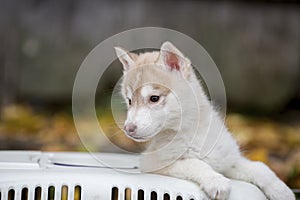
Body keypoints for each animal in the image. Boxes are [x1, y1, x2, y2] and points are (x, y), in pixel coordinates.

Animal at [115, 41, 296, 199]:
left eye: (154, 98)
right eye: (129, 101)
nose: (128, 129)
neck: (192, 133)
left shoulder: (227, 160)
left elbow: (260, 168)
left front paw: (281, 190)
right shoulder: (153, 164)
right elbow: (195, 163)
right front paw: (216, 181)